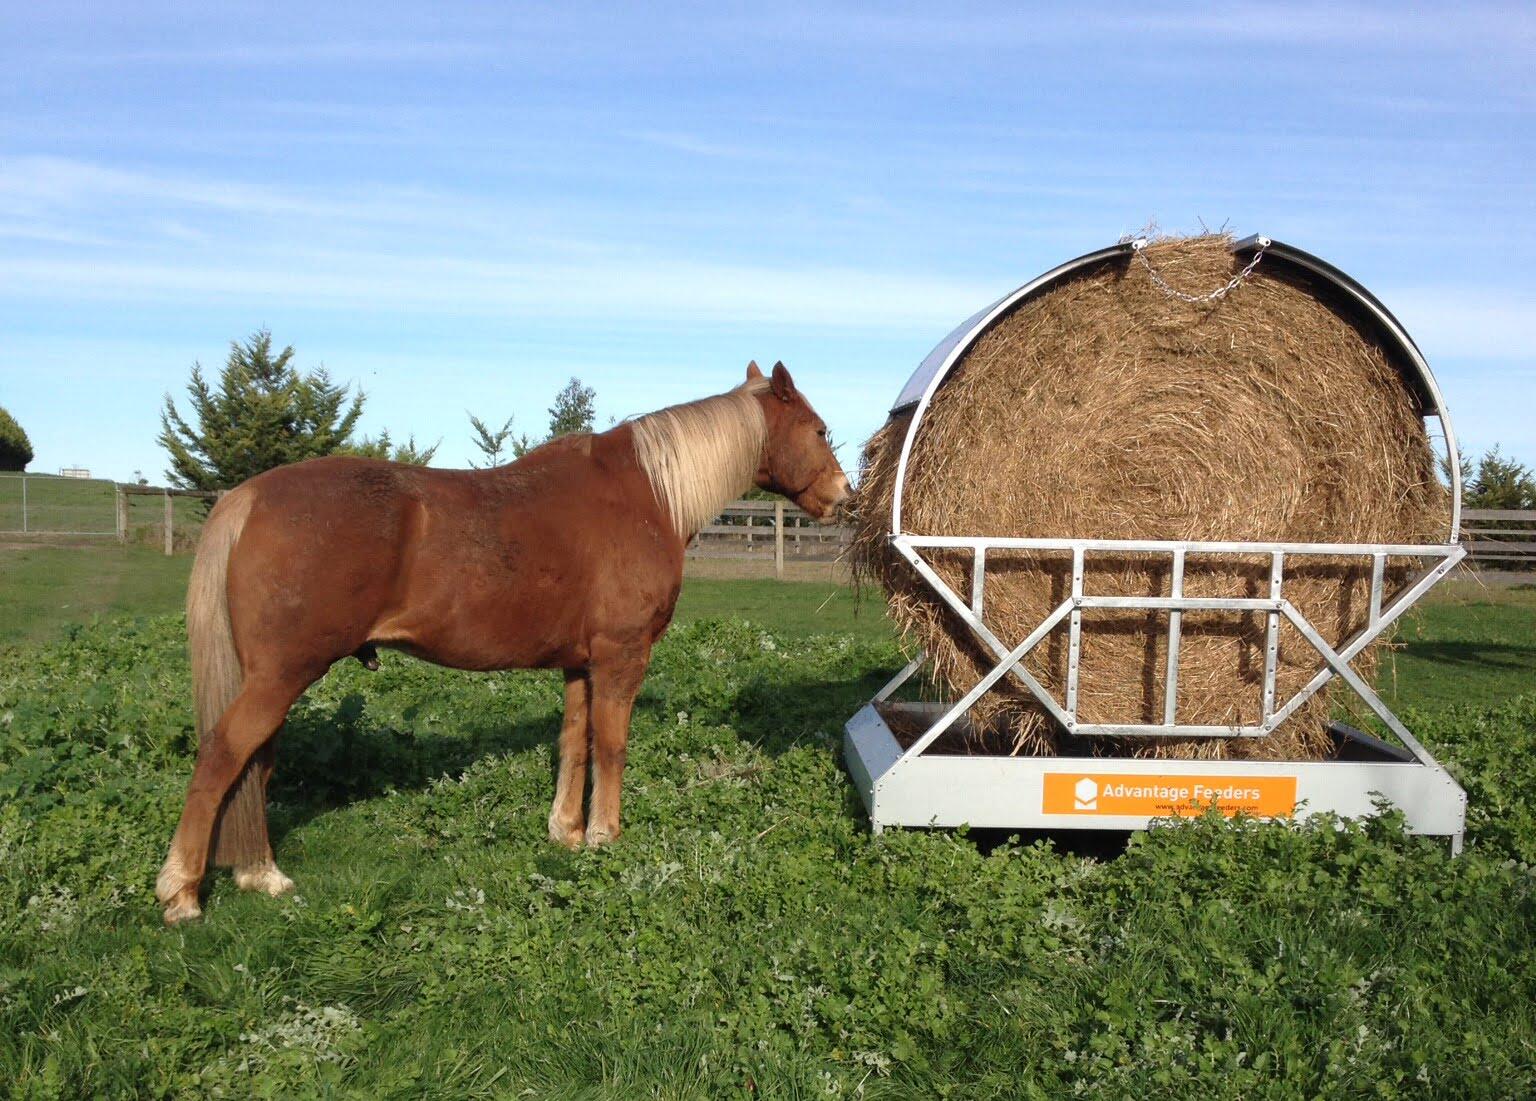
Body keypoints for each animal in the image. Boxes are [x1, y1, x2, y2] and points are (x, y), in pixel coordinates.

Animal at [155, 360, 854, 921]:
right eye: (819, 429)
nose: (843, 498)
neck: (644, 495)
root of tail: (249, 496)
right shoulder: (622, 655)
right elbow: (613, 744)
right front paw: (605, 836)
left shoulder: (579, 664)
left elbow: (575, 741)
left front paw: (566, 832)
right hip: (283, 674)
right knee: (223, 754)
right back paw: (183, 892)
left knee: (256, 763)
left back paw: (258, 874)